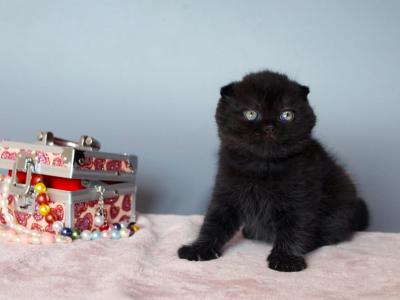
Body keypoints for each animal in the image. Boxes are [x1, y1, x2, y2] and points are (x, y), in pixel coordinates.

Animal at [178, 70, 368, 272]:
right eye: (251, 114)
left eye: (287, 114)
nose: (269, 128)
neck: (263, 167)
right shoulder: (226, 190)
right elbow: (213, 222)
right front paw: (199, 248)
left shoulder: (300, 197)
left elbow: (294, 227)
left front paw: (286, 258)